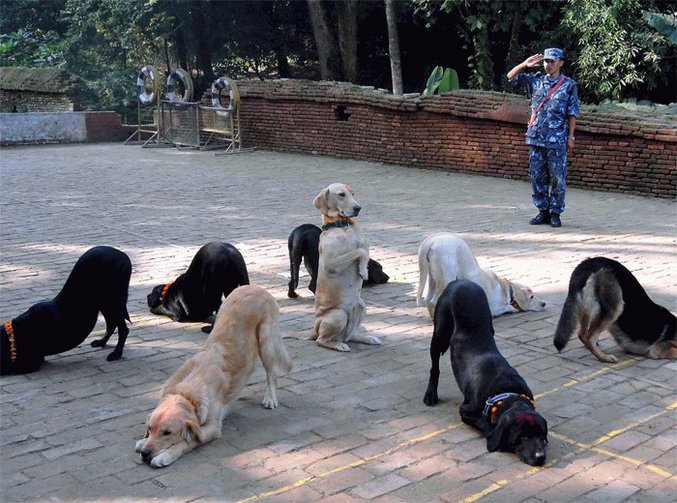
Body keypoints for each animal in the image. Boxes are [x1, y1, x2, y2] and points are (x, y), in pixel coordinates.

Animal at [0, 246, 132, 376]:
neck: (14, 334)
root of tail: (123, 255)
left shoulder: (31, 364)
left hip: (113, 300)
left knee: (123, 329)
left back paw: (116, 353)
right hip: (104, 302)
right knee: (112, 324)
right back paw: (101, 342)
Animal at [133, 288, 290, 468]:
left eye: (167, 433)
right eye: (150, 428)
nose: (145, 454)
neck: (186, 393)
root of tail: (256, 288)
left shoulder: (212, 428)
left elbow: (188, 441)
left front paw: (165, 455)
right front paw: (142, 442)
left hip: (266, 341)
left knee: (272, 373)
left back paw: (270, 399)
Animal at [310, 183, 380, 352]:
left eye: (352, 193)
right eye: (341, 194)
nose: (358, 208)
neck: (342, 226)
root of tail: (315, 330)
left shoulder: (364, 243)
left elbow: (363, 250)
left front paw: (363, 270)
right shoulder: (331, 264)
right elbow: (358, 252)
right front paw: (363, 272)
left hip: (362, 306)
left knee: (351, 335)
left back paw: (367, 338)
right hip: (339, 314)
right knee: (322, 340)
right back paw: (338, 345)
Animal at [426, 280, 548, 468]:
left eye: (542, 435)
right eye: (522, 436)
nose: (540, 456)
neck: (504, 393)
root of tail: (460, 281)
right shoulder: (465, 410)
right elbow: (485, 425)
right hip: (440, 331)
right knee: (435, 367)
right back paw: (431, 394)